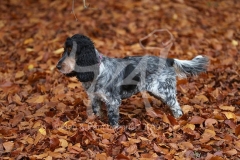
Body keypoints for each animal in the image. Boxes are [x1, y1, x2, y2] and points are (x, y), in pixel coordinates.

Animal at [56, 34, 208, 127]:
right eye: (64, 50)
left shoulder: (113, 101)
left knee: (176, 107)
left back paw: (177, 121)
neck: (97, 70)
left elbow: (113, 120)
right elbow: (97, 114)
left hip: (164, 90)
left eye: (71, 51)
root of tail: (168, 60)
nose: (57, 66)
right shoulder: (95, 98)